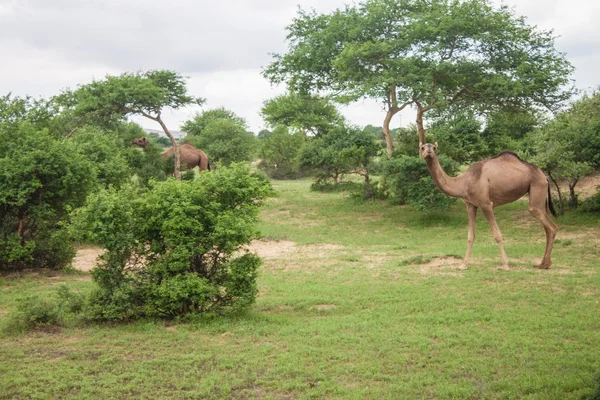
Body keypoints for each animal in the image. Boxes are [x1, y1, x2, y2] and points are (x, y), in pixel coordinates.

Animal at [422, 142, 556, 270]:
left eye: (434, 147)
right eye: (422, 147)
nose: (428, 151)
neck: (464, 182)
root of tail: (545, 177)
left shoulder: (486, 204)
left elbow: (497, 235)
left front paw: (505, 265)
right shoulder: (471, 205)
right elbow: (470, 236)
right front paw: (463, 265)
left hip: (537, 188)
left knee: (551, 226)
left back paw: (545, 264)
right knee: (547, 228)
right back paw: (542, 264)